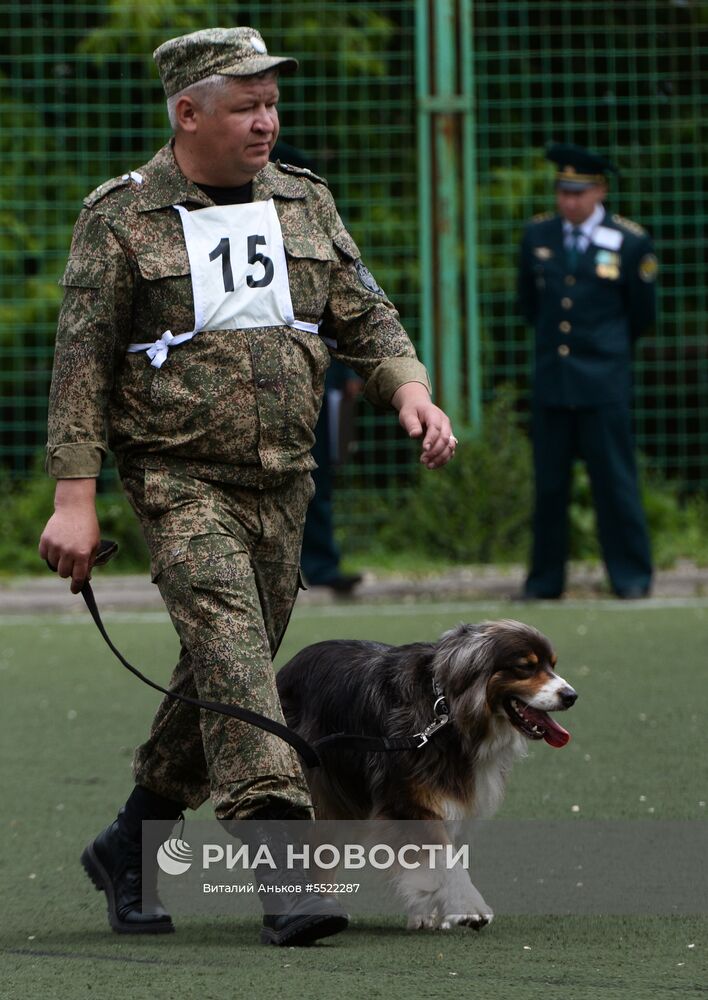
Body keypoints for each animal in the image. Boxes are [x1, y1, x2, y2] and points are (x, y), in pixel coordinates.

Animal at [276, 616, 576, 928]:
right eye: (526, 666)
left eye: (552, 665)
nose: (571, 696)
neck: (447, 710)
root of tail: (284, 671)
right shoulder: (408, 802)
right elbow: (444, 855)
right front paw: (469, 906)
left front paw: (428, 913)